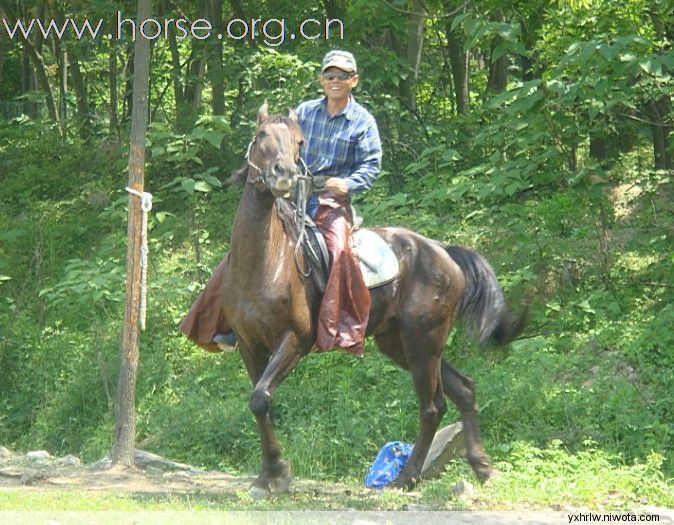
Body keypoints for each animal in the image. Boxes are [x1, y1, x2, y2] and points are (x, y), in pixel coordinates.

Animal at [220, 103, 524, 496]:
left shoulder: (293, 341)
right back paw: (482, 467)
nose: (283, 174)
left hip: (422, 341)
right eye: (261, 136)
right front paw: (267, 475)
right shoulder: (249, 345)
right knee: (464, 390)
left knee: (432, 406)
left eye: (299, 142)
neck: (264, 262)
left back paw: (407, 476)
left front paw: (278, 472)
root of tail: (442, 251)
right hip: (402, 344)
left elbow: (260, 399)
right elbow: (262, 403)